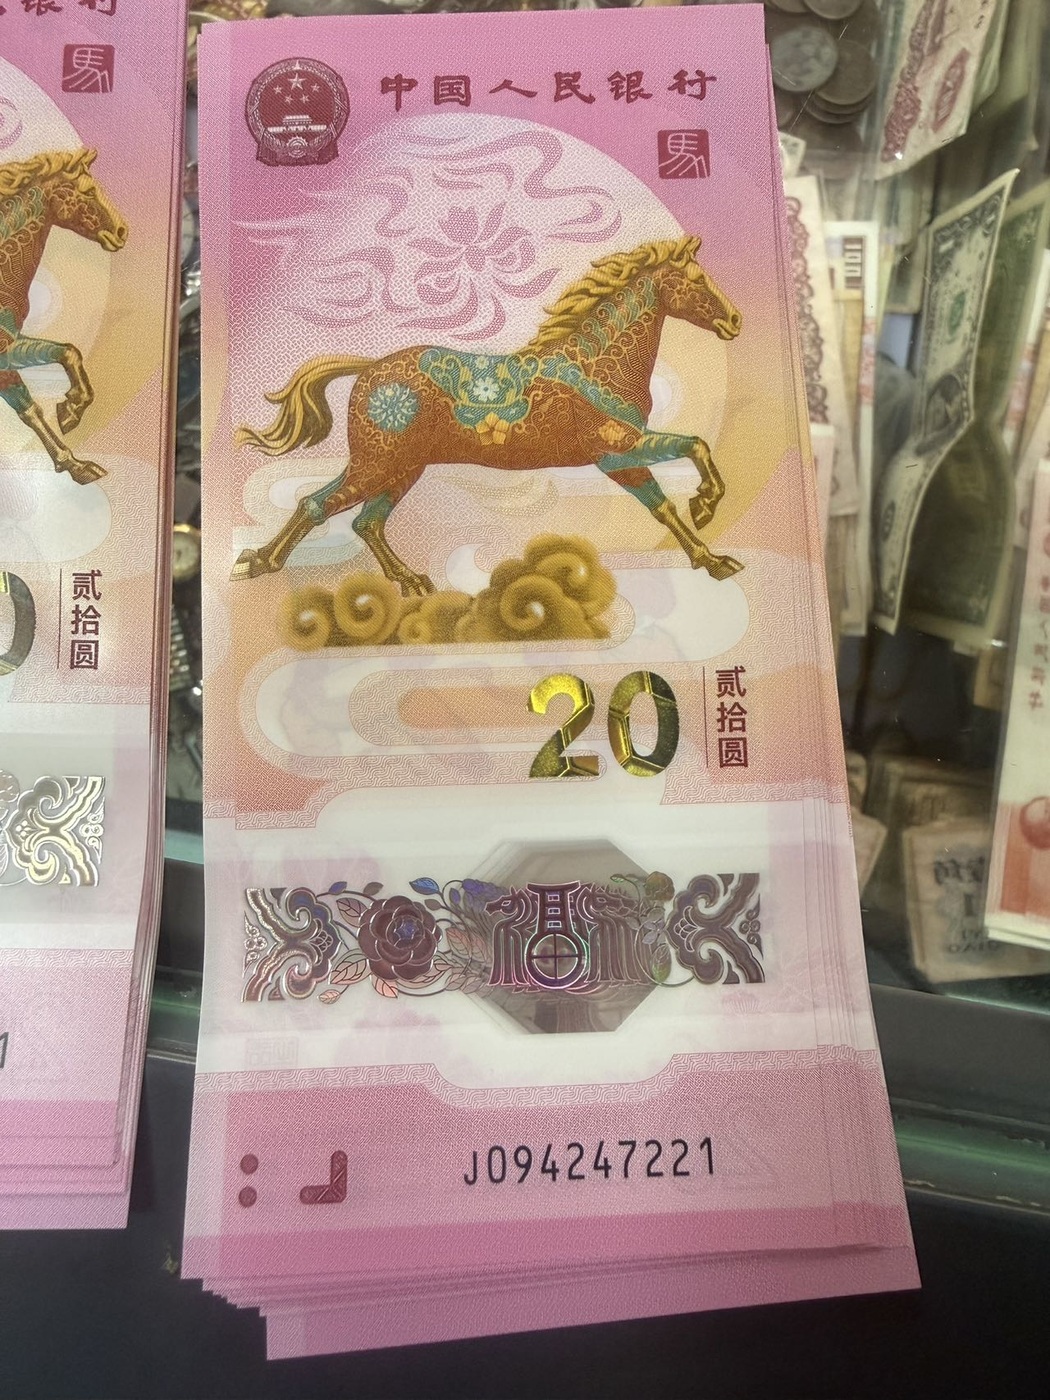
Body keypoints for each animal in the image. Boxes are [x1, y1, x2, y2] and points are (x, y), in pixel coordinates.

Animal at [0, 148, 128, 485]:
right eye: (88, 190)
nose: (122, 232)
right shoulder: (5, 350)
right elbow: (68, 352)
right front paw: (71, 410)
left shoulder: (6, 355)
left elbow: (30, 411)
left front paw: (76, 464)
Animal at [234, 235, 743, 596]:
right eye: (697, 280)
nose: (735, 321)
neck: (597, 364)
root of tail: (368, 369)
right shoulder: (616, 451)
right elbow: (695, 448)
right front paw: (705, 505)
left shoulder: (623, 457)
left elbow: (664, 506)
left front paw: (714, 560)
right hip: (377, 463)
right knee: (316, 504)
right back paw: (256, 563)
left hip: (399, 466)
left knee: (365, 521)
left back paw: (411, 581)